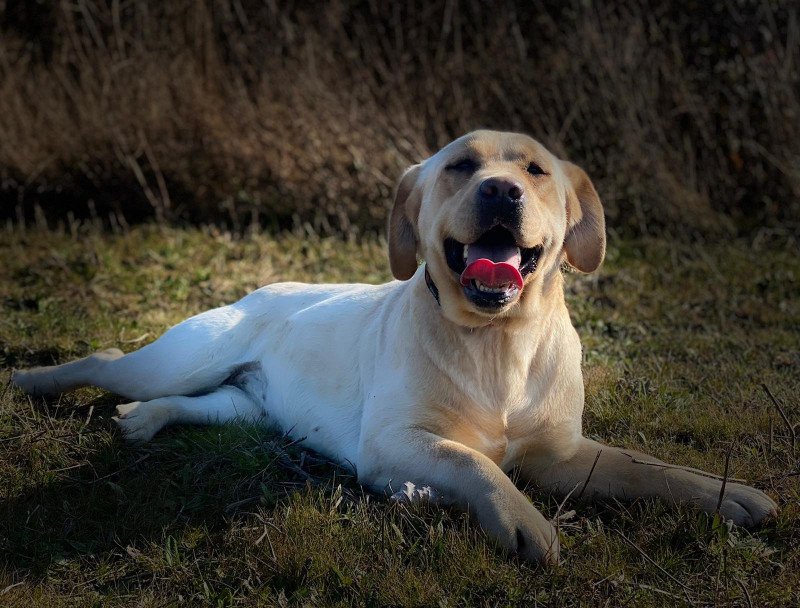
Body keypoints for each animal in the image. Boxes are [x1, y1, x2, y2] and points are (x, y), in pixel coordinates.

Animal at [10, 129, 776, 564]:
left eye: (534, 171)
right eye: (461, 166)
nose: (500, 190)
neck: (500, 342)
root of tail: (263, 288)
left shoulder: (563, 453)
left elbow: (654, 469)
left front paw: (730, 496)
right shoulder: (395, 439)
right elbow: (475, 462)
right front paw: (522, 521)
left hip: (244, 410)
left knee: (195, 405)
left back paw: (146, 421)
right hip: (181, 358)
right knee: (109, 362)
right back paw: (32, 380)